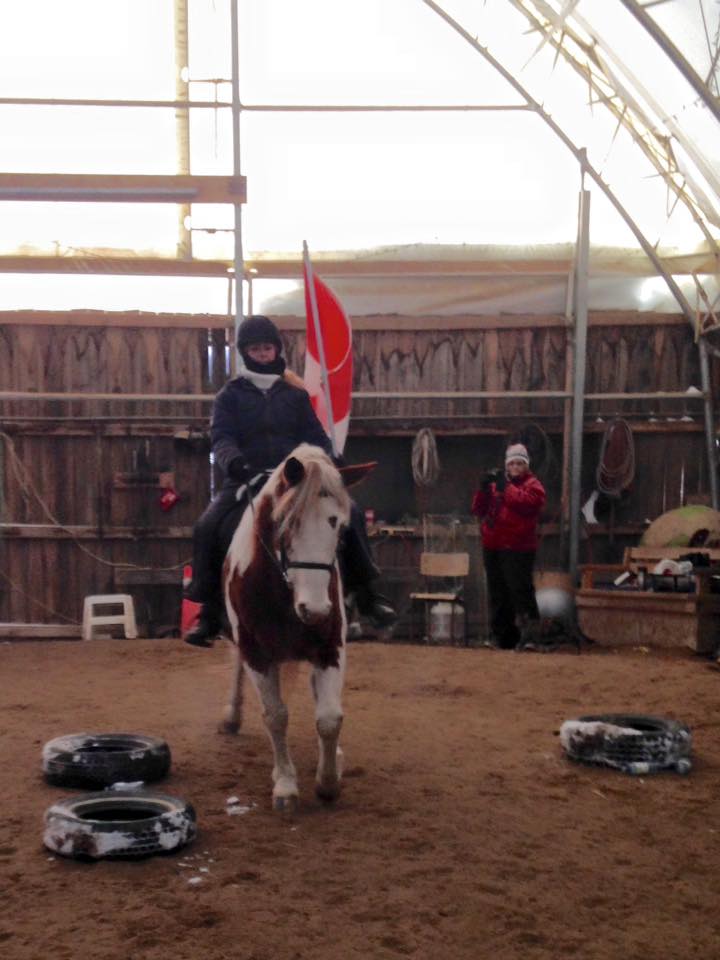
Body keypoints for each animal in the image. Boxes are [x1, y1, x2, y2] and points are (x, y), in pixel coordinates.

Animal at [220, 443, 374, 812]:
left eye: (339, 528)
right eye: (286, 525)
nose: (314, 609)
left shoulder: (331, 647)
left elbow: (330, 717)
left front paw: (328, 782)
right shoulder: (256, 653)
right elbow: (275, 716)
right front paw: (286, 785)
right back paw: (233, 716)